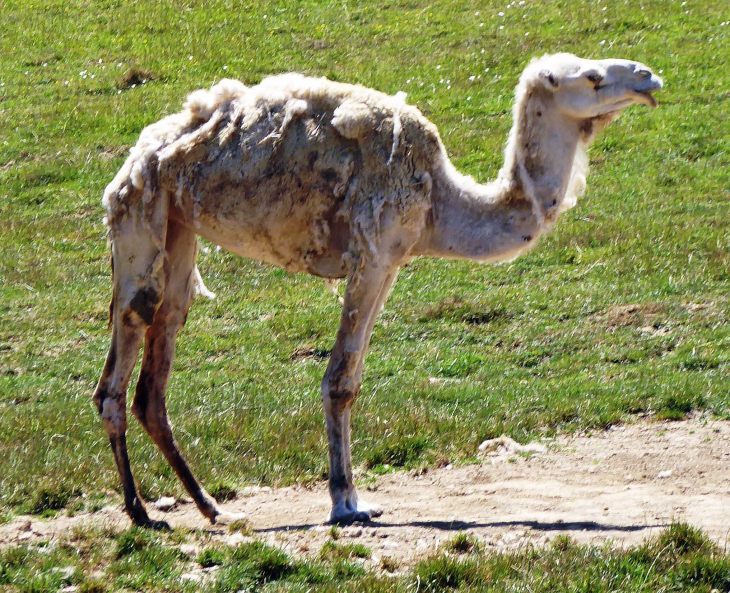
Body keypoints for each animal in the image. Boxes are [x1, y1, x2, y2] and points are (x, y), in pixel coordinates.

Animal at [95, 53, 660, 524]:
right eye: (593, 77)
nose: (649, 78)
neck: (441, 201)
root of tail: (135, 161)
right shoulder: (373, 254)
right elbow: (341, 380)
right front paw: (347, 502)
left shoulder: (391, 264)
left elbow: (351, 376)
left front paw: (348, 497)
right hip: (139, 222)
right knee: (122, 358)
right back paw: (140, 512)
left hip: (179, 228)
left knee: (158, 363)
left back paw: (211, 507)